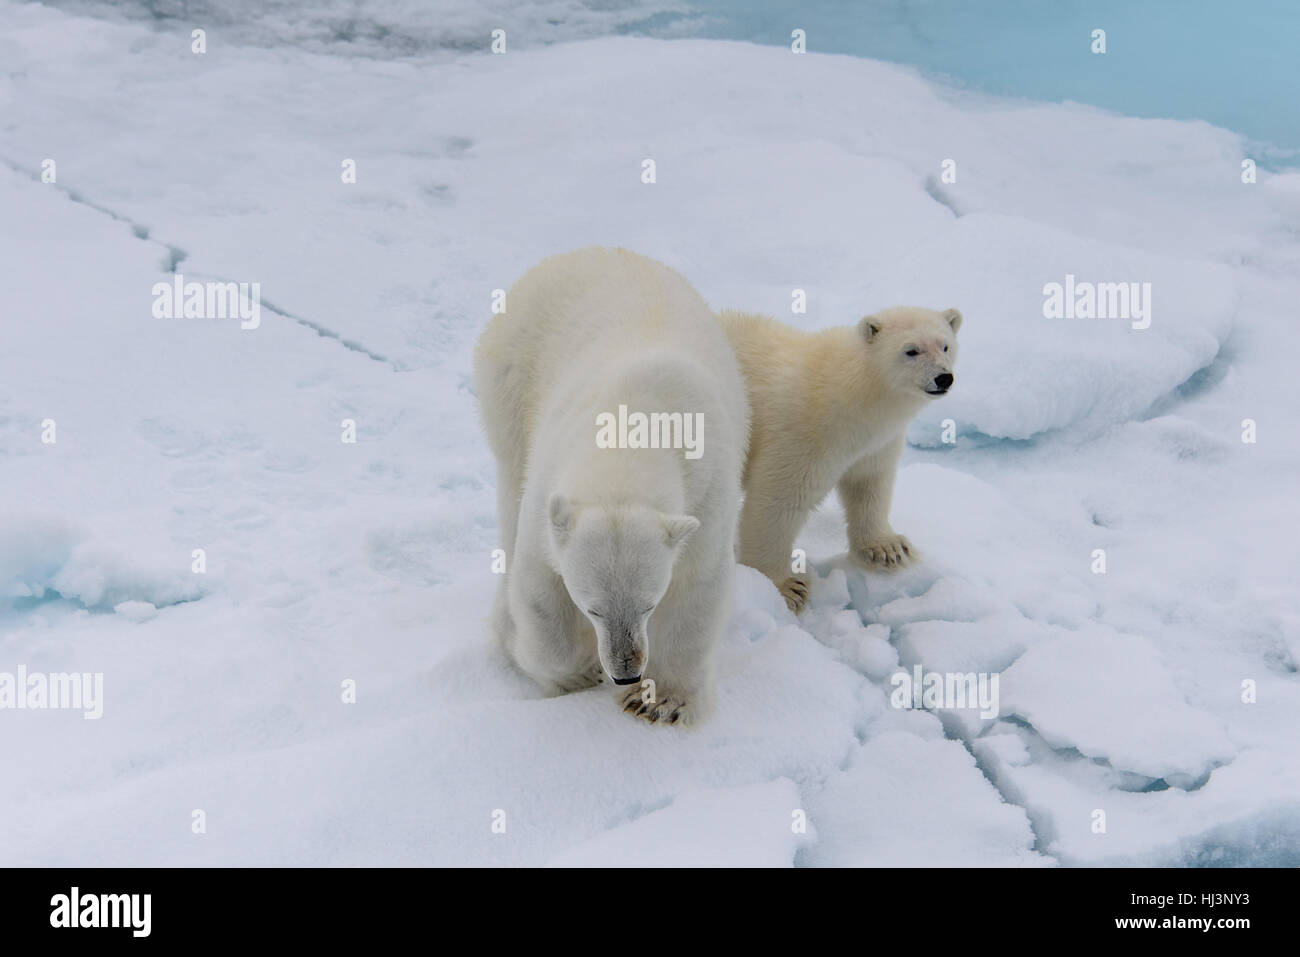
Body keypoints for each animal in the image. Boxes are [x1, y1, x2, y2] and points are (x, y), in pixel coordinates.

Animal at [473, 247, 748, 722]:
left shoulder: (707, 489)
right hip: (510, 387)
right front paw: (574, 675)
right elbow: (538, 582)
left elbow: (697, 585)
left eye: (649, 603)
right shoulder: (550, 483)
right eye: (593, 608)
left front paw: (660, 701)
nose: (625, 672)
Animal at [717, 304, 961, 613]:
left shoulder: (875, 444)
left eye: (945, 346)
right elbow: (778, 501)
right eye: (911, 350)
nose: (943, 378)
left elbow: (869, 484)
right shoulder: (804, 434)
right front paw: (784, 587)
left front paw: (888, 548)